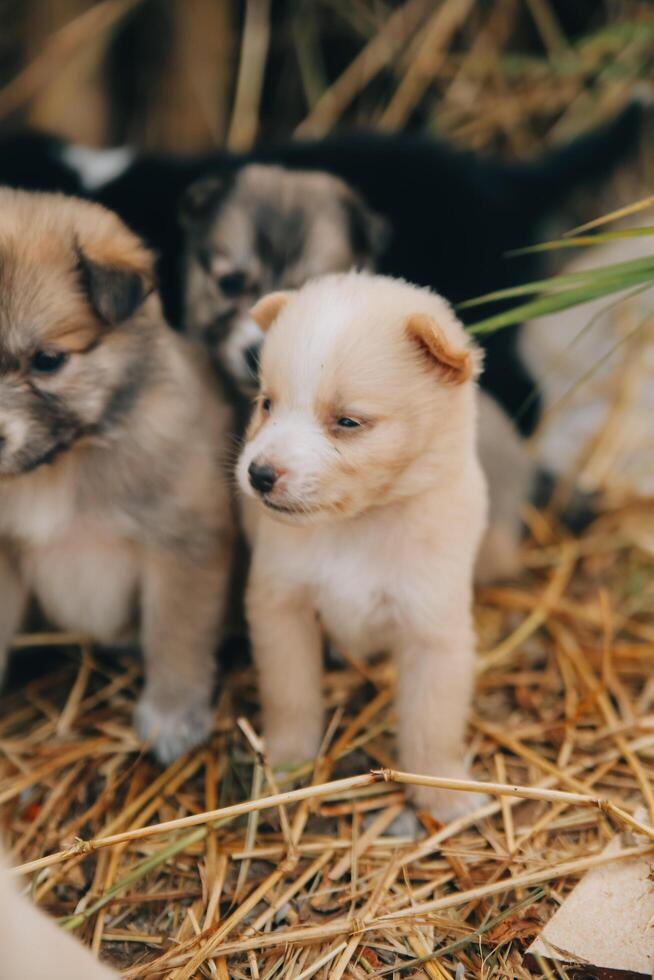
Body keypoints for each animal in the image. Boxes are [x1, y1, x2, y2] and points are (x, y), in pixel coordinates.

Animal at [238, 272, 490, 816]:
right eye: (267, 403)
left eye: (348, 421)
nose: (259, 474)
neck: (358, 526)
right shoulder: (280, 605)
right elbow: (289, 694)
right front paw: (288, 761)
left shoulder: (434, 628)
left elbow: (433, 720)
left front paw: (442, 791)